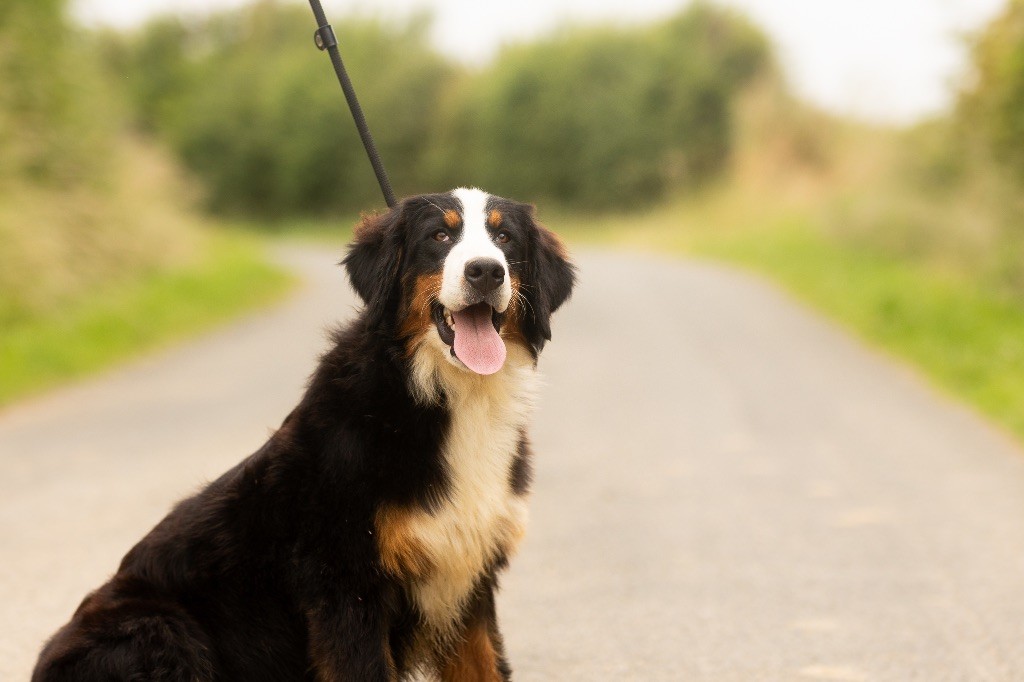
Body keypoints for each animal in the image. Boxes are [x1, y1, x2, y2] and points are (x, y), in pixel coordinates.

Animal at [32, 187, 577, 679]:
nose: (486, 270)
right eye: (439, 236)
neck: (450, 397)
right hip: (163, 629)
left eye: (504, 238)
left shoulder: (469, 580)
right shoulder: (346, 584)